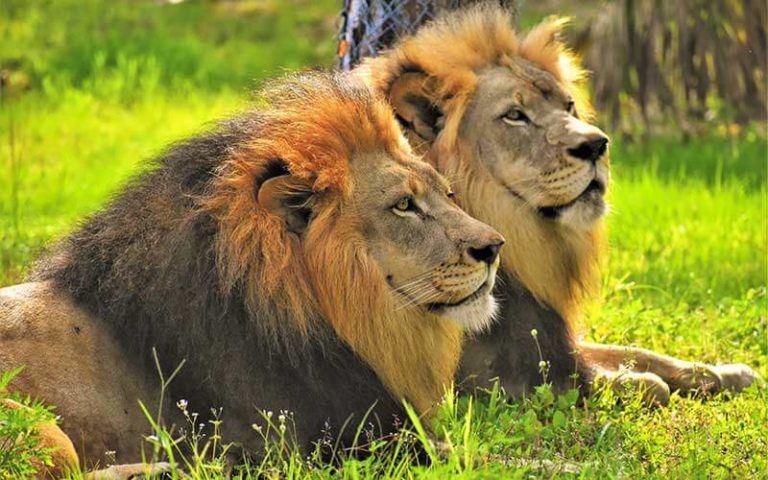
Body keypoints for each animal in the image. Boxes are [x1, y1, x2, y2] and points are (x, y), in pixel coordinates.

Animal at [0, 72, 504, 472]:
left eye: (448, 193)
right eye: (403, 205)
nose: (494, 246)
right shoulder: (302, 450)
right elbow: (468, 454)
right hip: (38, 425)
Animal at [352, 3, 760, 404]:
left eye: (568, 106)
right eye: (515, 116)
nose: (596, 145)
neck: (528, 242)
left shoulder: (558, 341)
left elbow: (635, 351)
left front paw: (725, 372)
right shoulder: (488, 379)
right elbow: (625, 380)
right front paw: (645, 383)